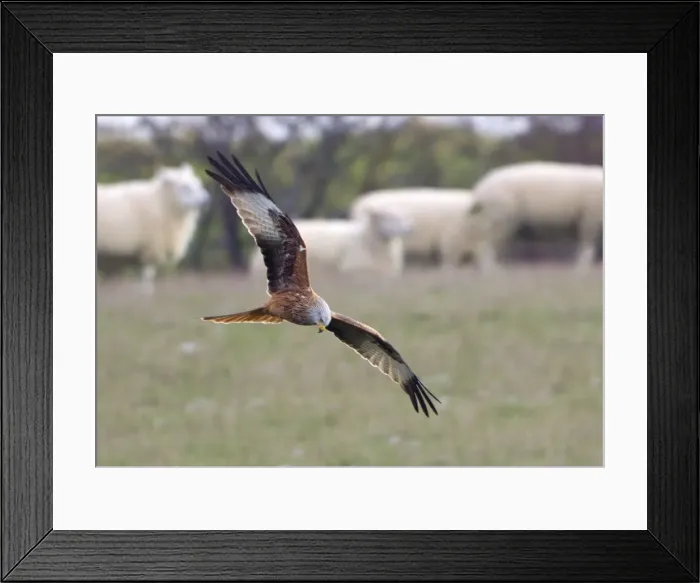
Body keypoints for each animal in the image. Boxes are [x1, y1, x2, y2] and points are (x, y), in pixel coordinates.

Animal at [96, 163, 210, 291]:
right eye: (184, 187)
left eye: (198, 184)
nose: (207, 200)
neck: (160, 202)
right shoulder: (150, 247)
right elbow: (147, 275)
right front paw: (146, 290)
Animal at [463, 161, 603, 270]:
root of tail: (479, 191)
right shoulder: (590, 216)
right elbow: (587, 243)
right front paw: (582, 268)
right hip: (499, 216)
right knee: (487, 244)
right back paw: (493, 270)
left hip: (496, 218)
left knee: (489, 243)